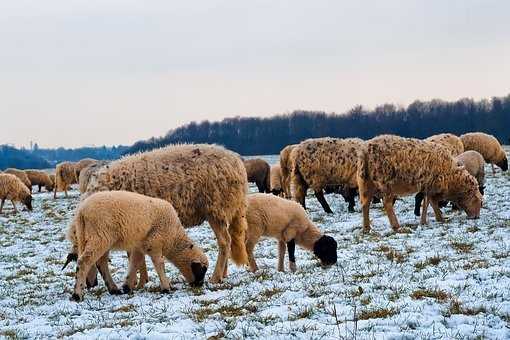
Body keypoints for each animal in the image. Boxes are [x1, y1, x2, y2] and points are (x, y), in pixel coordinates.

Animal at [68, 190, 208, 302]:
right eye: (202, 269)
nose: (200, 285)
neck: (174, 238)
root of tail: (81, 212)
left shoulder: (139, 246)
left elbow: (135, 263)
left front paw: (127, 286)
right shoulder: (155, 243)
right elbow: (159, 264)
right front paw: (166, 287)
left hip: (97, 238)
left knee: (101, 263)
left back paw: (114, 289)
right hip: (99, 236)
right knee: (84, 262)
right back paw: (77, 295)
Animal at [82, 142, 249, 282]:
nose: (90, 284)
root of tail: (237, 162)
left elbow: (134, 256)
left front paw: (138, 282)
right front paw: (142, 281)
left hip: (216, 209)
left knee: (224, 242)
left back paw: (216, 277)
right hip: (225, 210)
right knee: (227, 241)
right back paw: (223, 274)